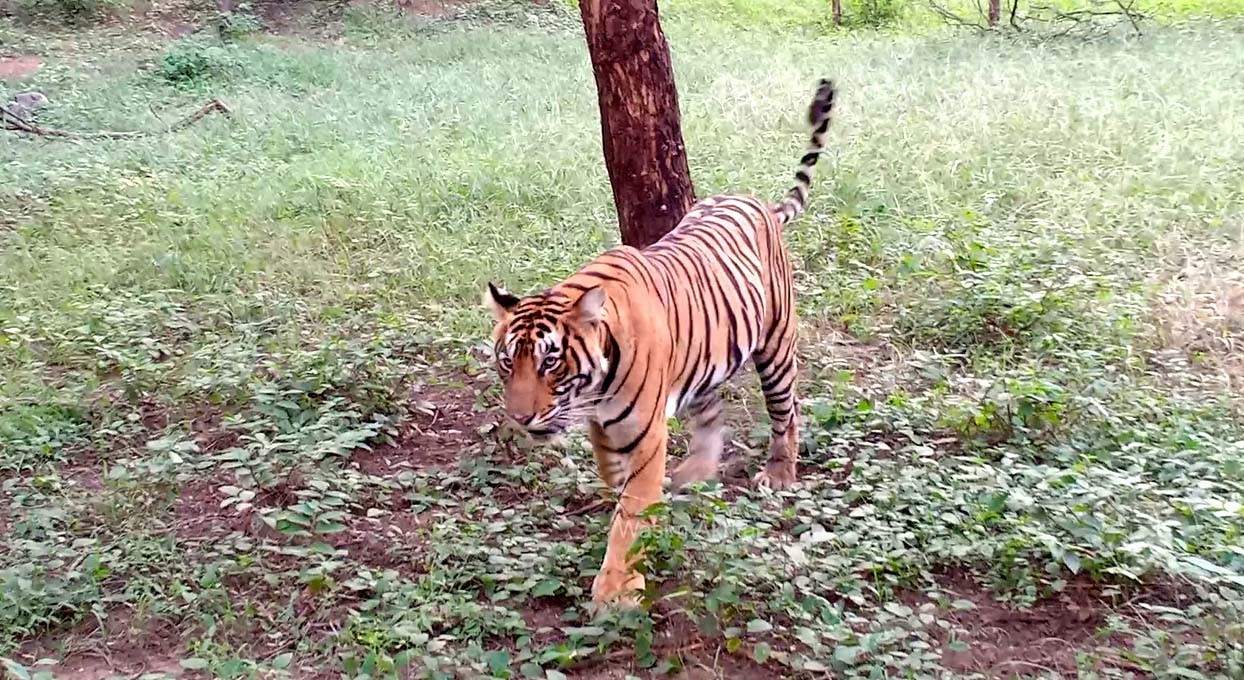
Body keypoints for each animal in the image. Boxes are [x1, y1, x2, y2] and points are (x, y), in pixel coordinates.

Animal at [482, 78, 835, 606]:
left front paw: (616, 589)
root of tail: (759, 203)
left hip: (775, 347)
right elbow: (619, 484)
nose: (521, 419)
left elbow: (631, 509)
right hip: (705, 359)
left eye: (550, 362)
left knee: (786, 413)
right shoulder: (603, 428)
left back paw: (778, 475)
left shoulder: (645, 433)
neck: (596, 390)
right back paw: (694, 476)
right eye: (507, 363)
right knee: (711, 420)